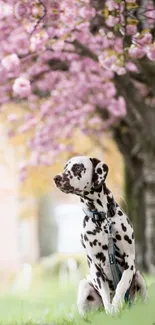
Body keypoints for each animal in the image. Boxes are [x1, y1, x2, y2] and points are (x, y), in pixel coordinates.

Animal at [54, 156, 148, 314]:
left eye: (77, 167)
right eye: (65, 167)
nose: (56, 178)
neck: (102, 219)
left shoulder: (129, 261)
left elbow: (122, 285)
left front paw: (116, 304)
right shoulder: (95, 267)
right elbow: (105, 295)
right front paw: (111, 311)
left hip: (139, 277)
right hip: (84, 286)